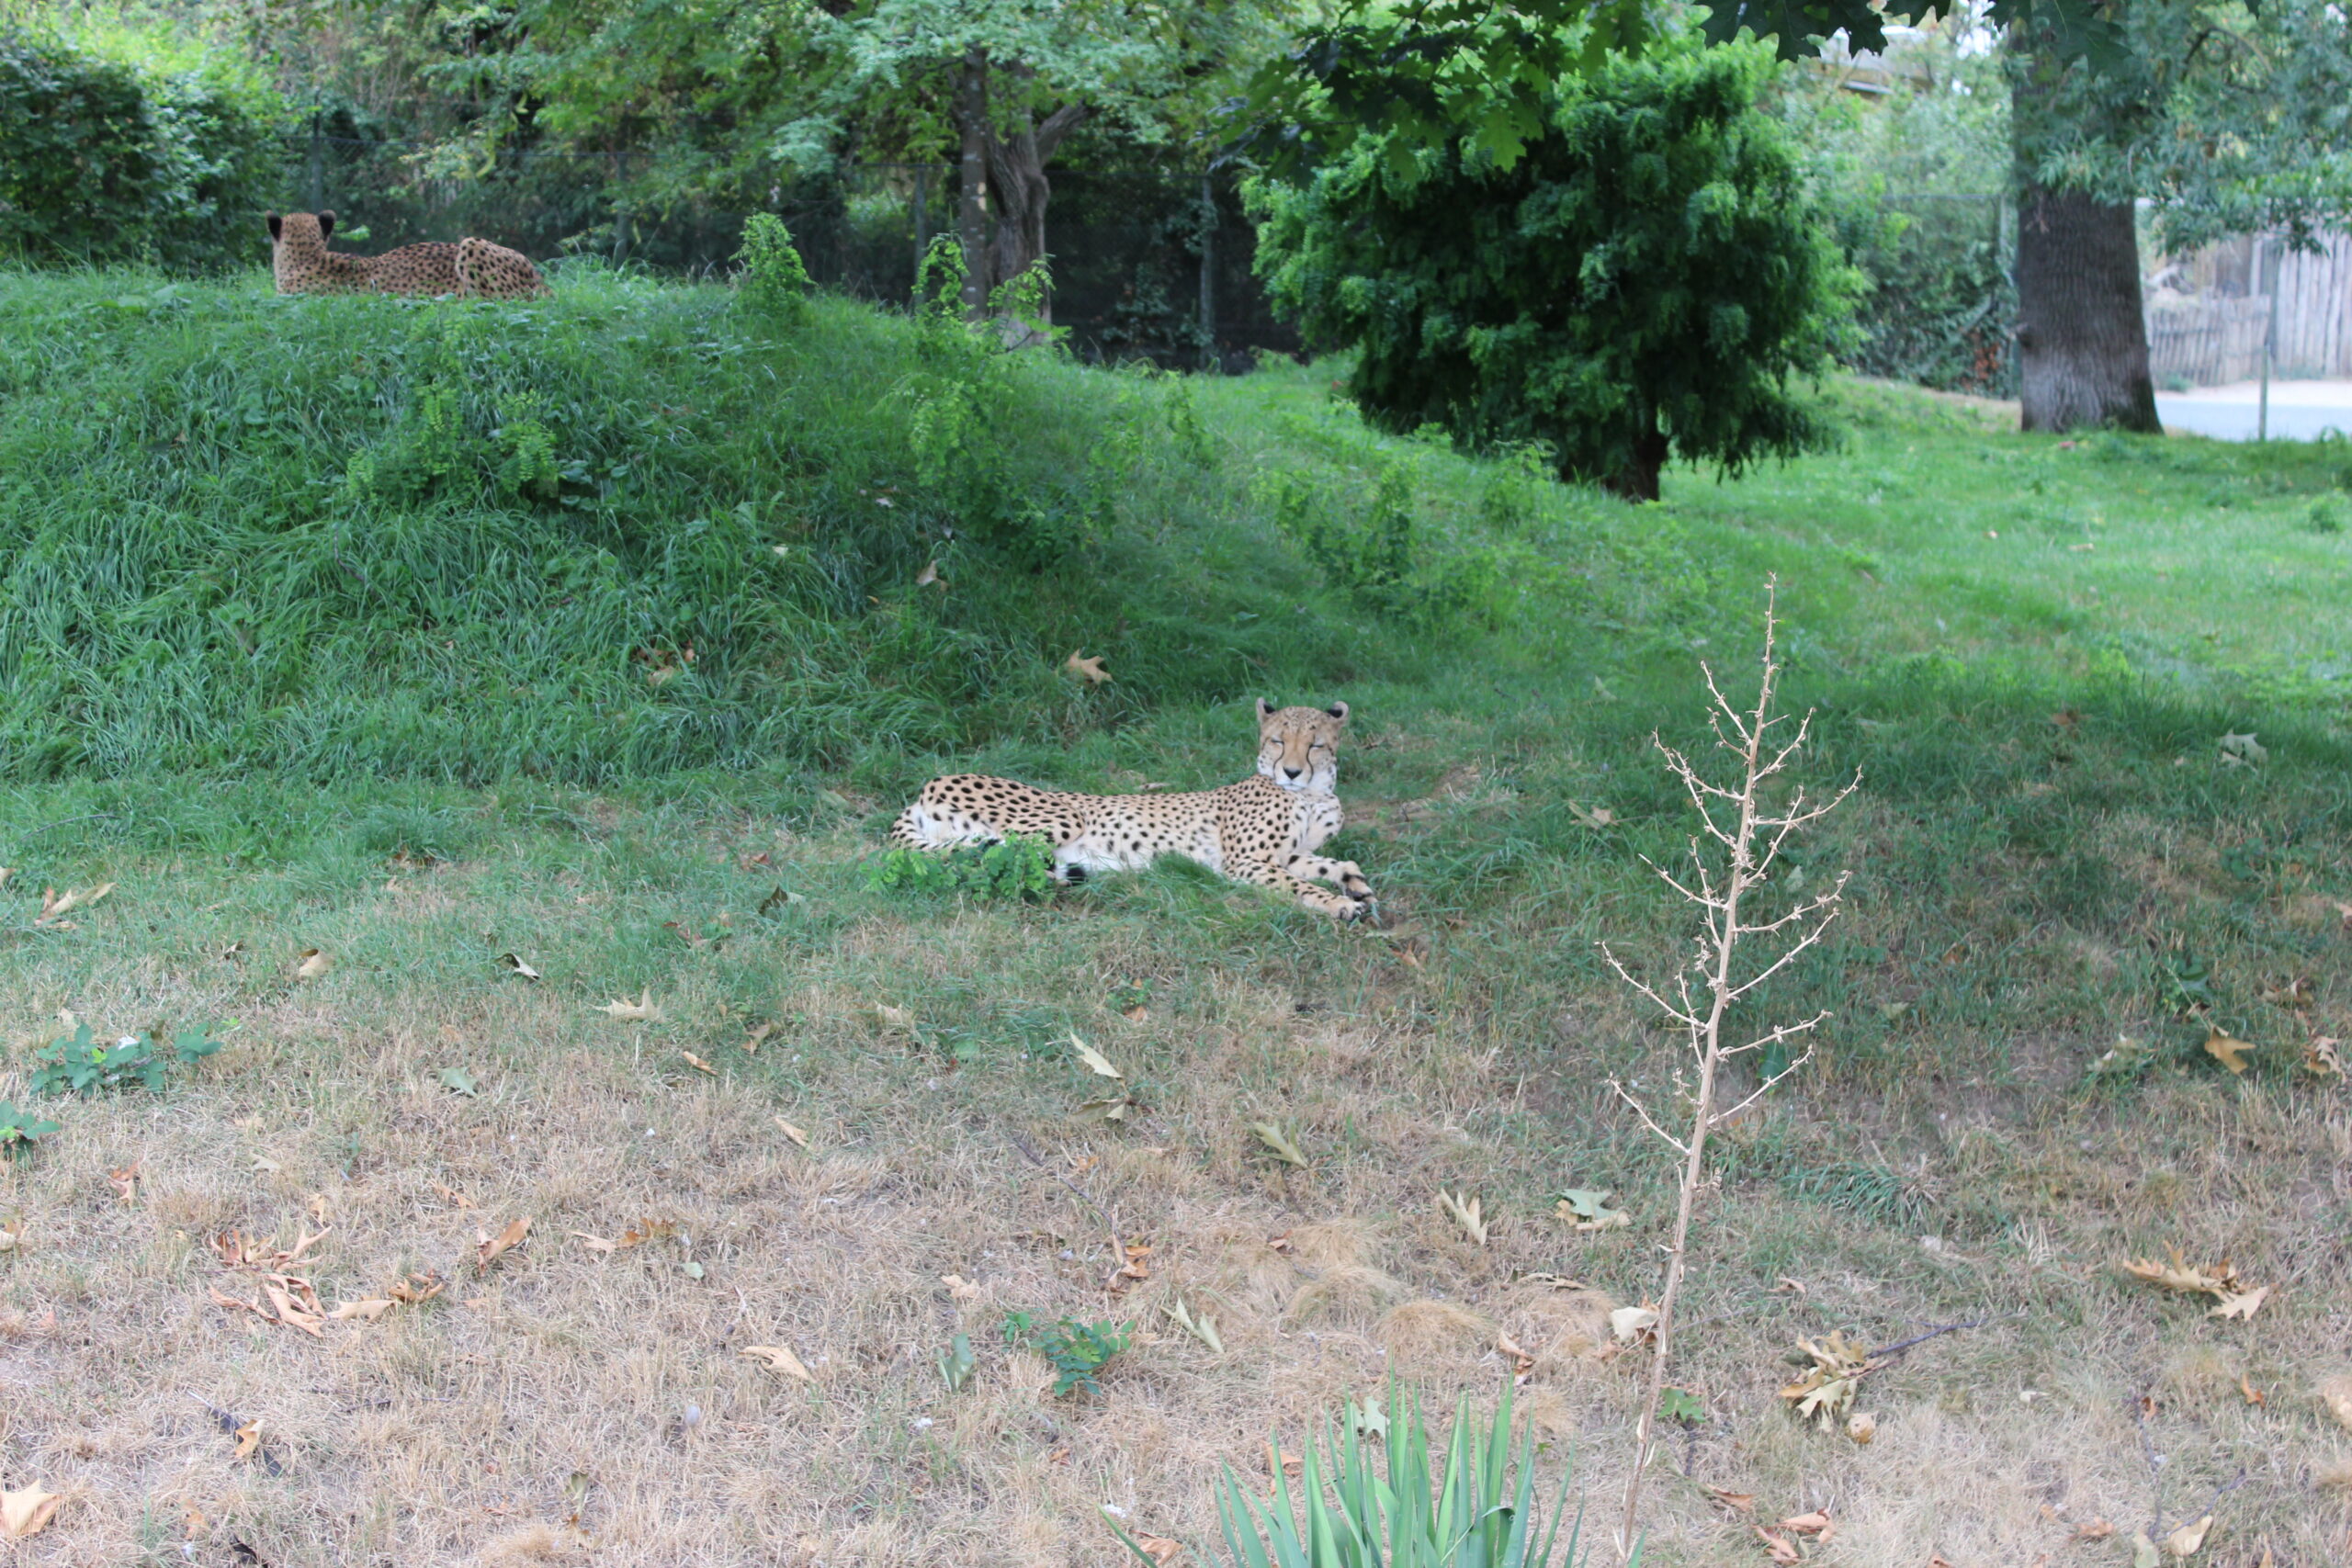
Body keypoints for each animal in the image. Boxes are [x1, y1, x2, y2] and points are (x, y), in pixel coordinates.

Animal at [893, 700, 1374, 921]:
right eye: (1278, 740)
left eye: (1315, 745)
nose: (1291, 771)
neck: (1313, 793)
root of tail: (926, 785)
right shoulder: (1246, 862)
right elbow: (1299, 885)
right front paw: (1338, 904)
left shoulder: (1289, 854)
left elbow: (1329, 863)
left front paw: (1356, 885)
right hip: (1062, 817)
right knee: (985, 858)